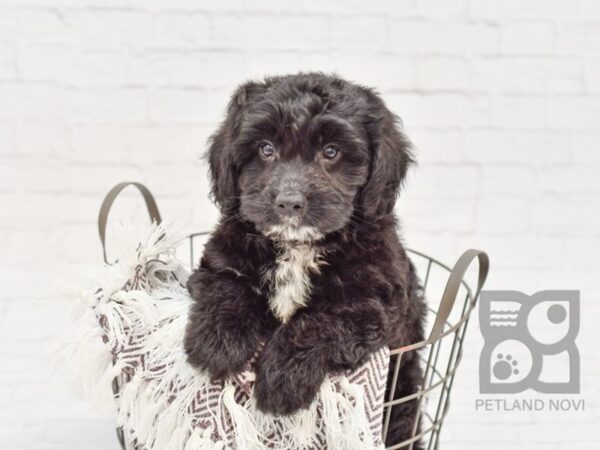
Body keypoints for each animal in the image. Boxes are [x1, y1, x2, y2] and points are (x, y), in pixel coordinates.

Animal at [185, 74, 424, 446]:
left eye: (331, 152)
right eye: (266, 148)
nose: (289, 202)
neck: (297, 246)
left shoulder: (371, 300)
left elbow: (319, 321)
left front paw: (283, 377)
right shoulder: (223, 255)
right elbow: (227, 285)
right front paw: (217, 343)